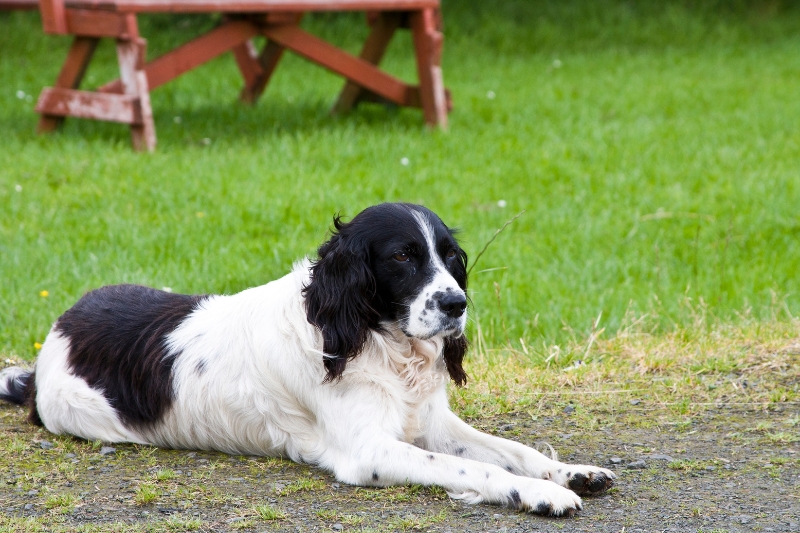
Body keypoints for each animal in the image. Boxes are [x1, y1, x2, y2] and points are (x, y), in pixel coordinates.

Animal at [0, 202, 612, 512]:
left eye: (449, 256)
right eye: (402, 257)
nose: (457, 304)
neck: (372, 338)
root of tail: (57, 332)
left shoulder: (431, 420)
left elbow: (510, 450)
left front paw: (570, 472)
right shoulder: (368, 450)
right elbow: (476, 467)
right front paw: (543, 494)